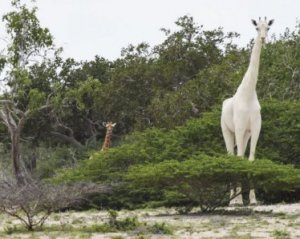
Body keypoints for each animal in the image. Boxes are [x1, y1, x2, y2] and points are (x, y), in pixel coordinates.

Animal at [220, 17, 274, 206]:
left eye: (268, 28)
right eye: (257, 28)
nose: (263, 39)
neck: (249, 93)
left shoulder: (255, 128)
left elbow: (250, 159)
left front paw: (253, 199)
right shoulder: (239, 127)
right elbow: (238, 159)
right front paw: (237, 200)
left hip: (244, 134)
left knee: (240, 155)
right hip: (227, 130)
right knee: (231, 155)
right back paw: (232, 199)